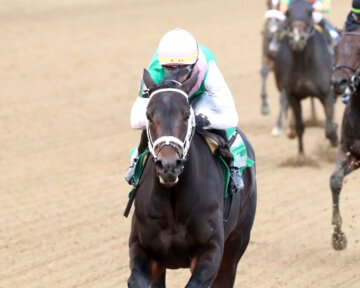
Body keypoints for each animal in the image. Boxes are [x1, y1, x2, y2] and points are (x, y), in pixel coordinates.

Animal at [128, 70, 258, 288]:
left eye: (187, 114)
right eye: (148, 115)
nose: (169, 165)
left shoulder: (211, 251)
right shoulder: (143, 249)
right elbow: (136, 280)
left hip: (235, 245)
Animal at [274, 0, 338, 154]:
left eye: (309, 12)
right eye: (288, 12)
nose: (297, 38)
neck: (303, 63)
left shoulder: (327, 93)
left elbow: (329, 129)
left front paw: (334, 139)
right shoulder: (293, 96)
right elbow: (300, 127)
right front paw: (301, 155)